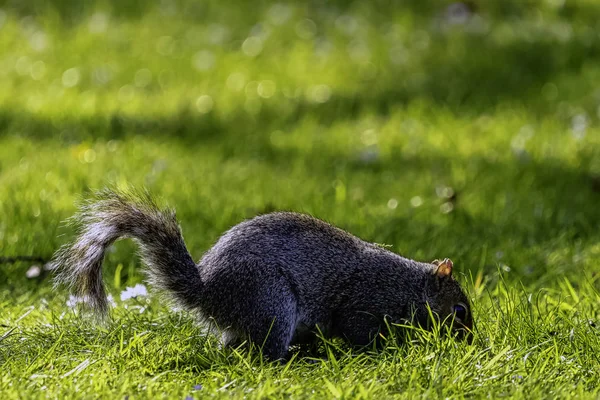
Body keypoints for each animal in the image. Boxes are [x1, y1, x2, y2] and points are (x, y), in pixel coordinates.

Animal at [51, 189, 474, 360]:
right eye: (460, 312)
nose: (472, 342)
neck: (409, 287)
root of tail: (209, 293)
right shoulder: (365, 305)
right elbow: (361, 334)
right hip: (271, 301)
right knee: (263, 354)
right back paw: (295, 360)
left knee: (232, 347)